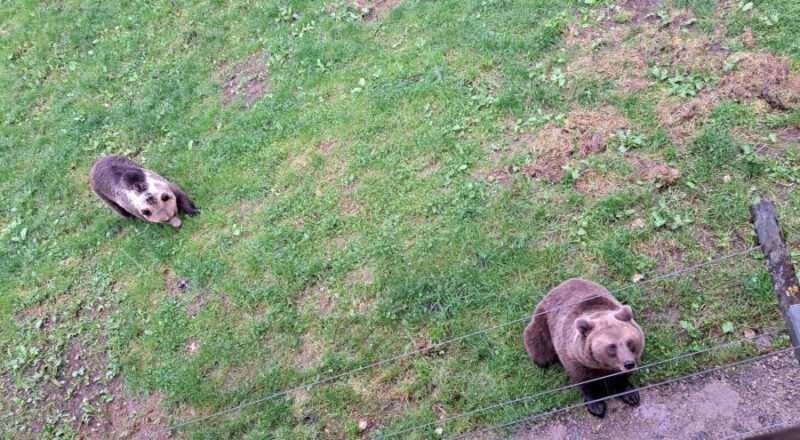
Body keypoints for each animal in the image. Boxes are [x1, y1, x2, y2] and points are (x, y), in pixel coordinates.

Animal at [524, 280, 644, 418]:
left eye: (629, 342)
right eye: (611, 347)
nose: (628, 363)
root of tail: (559, 286)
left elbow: (622, 378)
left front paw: (630, 395)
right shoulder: (575, 358)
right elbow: (585, 382)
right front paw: (596, 406)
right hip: (543, 323)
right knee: (541, 352)